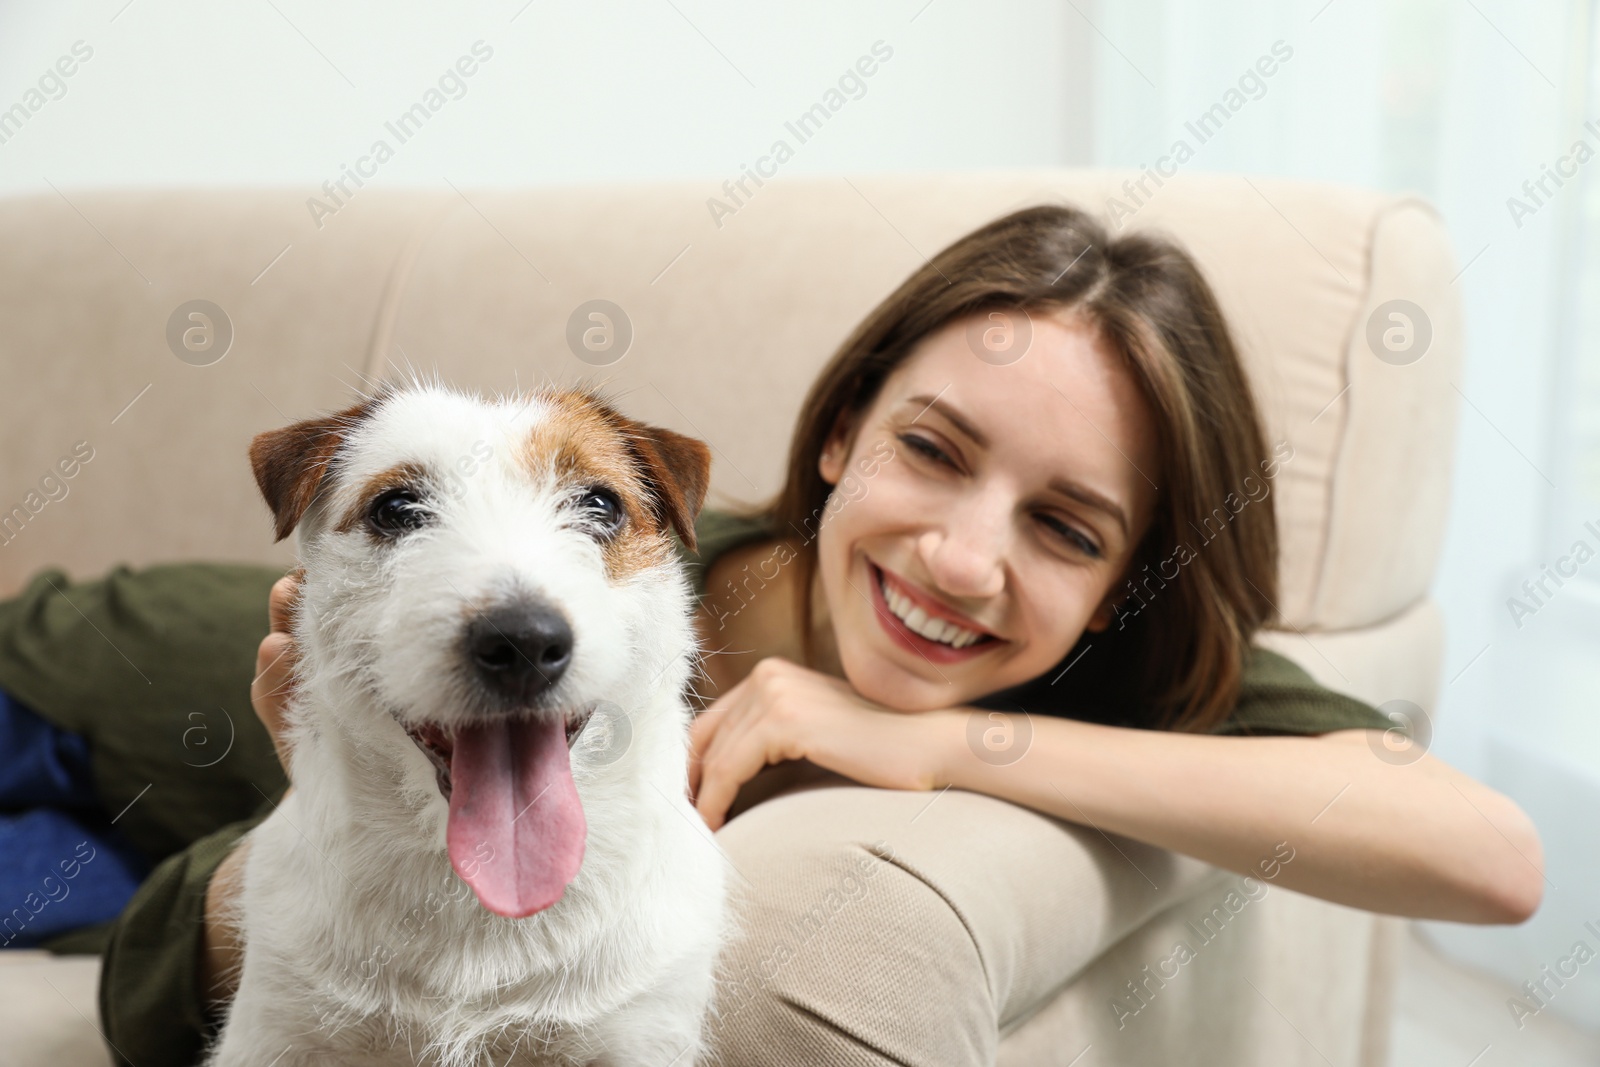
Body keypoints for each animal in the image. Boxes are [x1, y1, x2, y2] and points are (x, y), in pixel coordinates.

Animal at [211, 383, 732, 1067]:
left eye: (600, 503)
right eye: (396, 509)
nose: (522, 641)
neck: (482, 894)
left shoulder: (640, 1034)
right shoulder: (277, 1032)